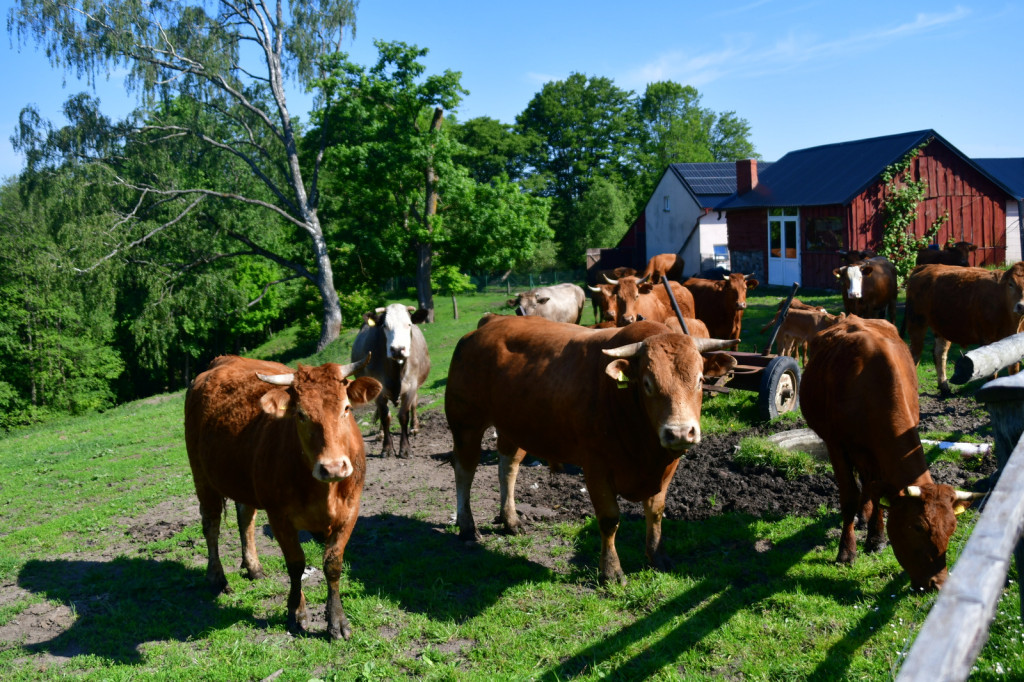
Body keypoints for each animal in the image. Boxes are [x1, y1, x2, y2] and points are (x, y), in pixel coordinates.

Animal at [183, 356, 380, 638]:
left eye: (346, 408)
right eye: (301, 415)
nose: (333, 468)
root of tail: (222, 360)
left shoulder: (350, 511)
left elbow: (333, 564)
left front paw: (337, 620)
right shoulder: (279, 517)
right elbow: (296, 564)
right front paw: (296, 613)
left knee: (245, 519)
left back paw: (253, 567)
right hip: (202, 476)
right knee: (211, 525)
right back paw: (217, 578)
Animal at [352, 303, 432, 456]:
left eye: (408, 324)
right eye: (384, 326)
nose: (398, 349)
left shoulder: (411, 386)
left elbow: (403, 415)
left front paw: (405, 449)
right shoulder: (378, 388)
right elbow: (385, 416)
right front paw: (387, 448)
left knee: (414, 404)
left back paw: (414, 427)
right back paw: (381, 433)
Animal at [446, 315, 737, 581]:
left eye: (699, 380)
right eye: (647, 383)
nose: (679, 432)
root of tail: (490, 322)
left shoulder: (666, 468)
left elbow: (655, 513)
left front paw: (658, 557)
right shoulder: (596, 467)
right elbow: (609, 519)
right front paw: (611, 571)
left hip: (513, 426)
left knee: (508, 467)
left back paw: (510, 520)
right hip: (466, 423)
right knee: (464, 471)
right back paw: (467, 526)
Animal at [798, 315, 983, 585]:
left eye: (952, 528)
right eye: (918, 526)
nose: (937, 583)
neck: (867, 383)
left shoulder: (880, 452)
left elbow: (877, 493)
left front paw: (876, 539)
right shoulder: (836, 445)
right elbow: (849, 496)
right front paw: (847, 551)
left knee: (868, 483)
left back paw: (865, 517)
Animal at [905, 262, 1024, 395]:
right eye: (1011, 284)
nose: (1021, 306)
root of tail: (927, 266)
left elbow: (1014, 369)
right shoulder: (987, 339)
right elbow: (992, 373)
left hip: (942, 327)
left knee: (939, 354)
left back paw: (944, 387)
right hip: (916, 322)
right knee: (915, 355)